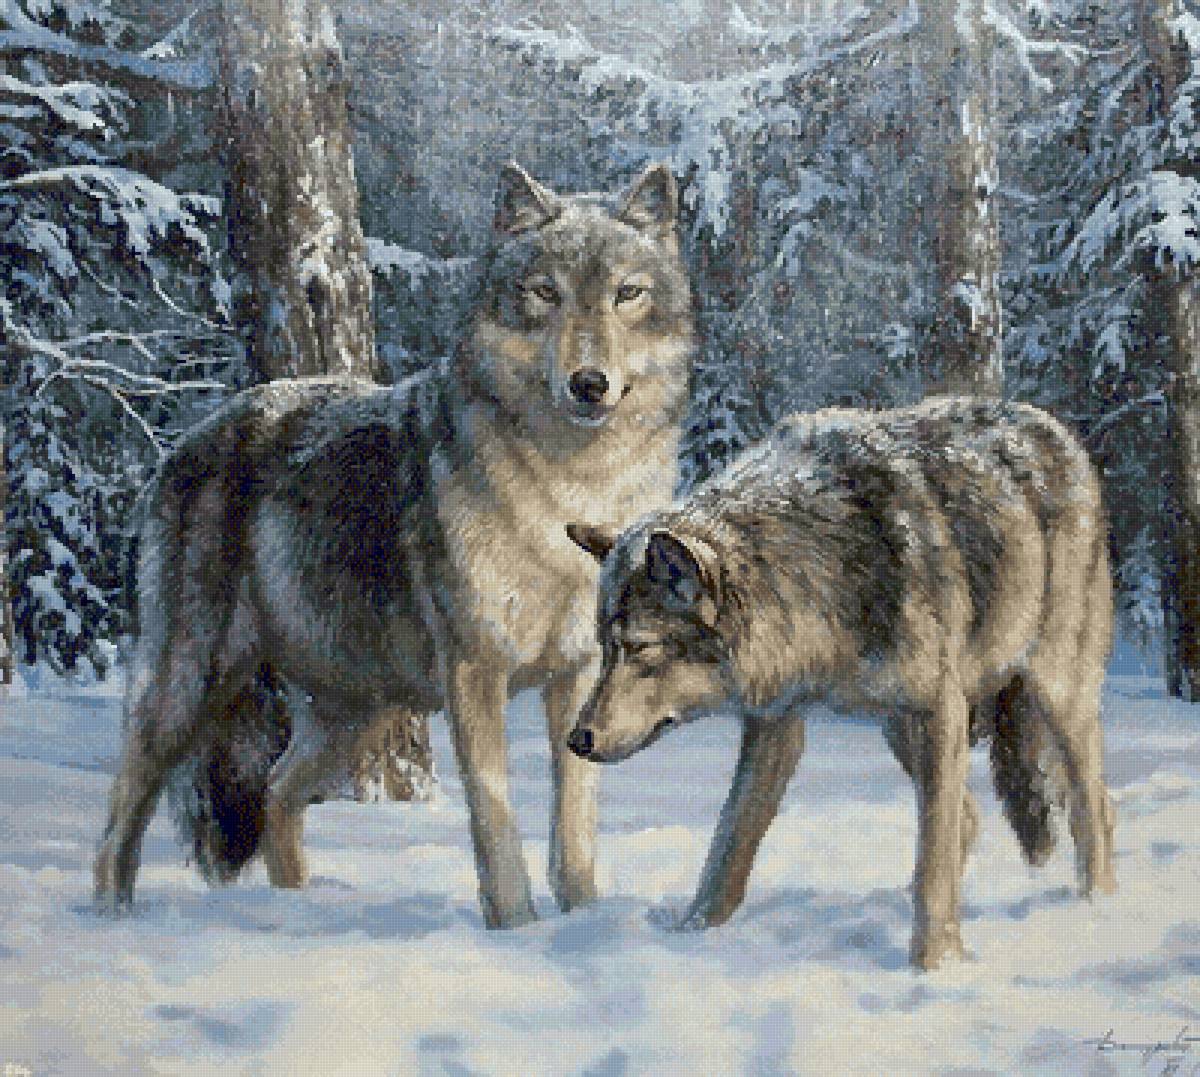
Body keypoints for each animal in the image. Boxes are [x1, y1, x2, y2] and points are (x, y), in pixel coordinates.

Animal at [94, 161, 694, 928]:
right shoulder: (476, 671)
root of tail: (187, 441)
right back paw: (110, 919)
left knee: (276, 790)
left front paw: (584, 920)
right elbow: (495, 819)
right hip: (189, 688)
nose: (589, 383)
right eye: (545, 293)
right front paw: (516, 928)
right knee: (123, 812)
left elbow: (575, 819)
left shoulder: (582, 671)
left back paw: (298, 911)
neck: (571, 493)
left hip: (355, 711)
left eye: (626, 294)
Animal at [566, 397, 1116, 969]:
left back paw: (1097, 907)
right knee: (969, 818)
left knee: (1093, 808)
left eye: (639, 648)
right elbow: (729, 845)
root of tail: (1051, 427)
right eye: (604, 648)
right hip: (902, 729)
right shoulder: (775, 724)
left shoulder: (939, 707)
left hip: (1052, 693)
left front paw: (936, 966)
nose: (577, 739)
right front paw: (691, 935)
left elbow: (934, 862)